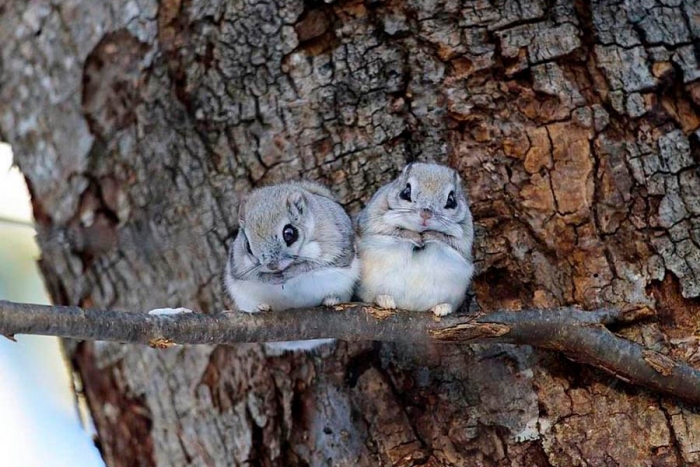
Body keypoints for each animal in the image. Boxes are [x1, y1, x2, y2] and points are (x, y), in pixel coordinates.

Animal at [226, 181, 360, 352]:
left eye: (289, 233)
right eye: (248, 246)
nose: (272, 265)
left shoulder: (333, 248)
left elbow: (309, 266)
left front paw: (289, 273)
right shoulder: (238, 267)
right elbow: (254, 276)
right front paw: (271, 278)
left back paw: (331, 300)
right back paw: (261, 307)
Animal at [356, 163, 476, 316]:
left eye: (451, 200)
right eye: (406, 192)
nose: (426, 213)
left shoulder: (464, 239)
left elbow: (449, 241)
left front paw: (430, 235)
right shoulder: (373, 222)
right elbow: (394, 231)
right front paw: (415, 237)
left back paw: (442, 308)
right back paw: (384, 299)